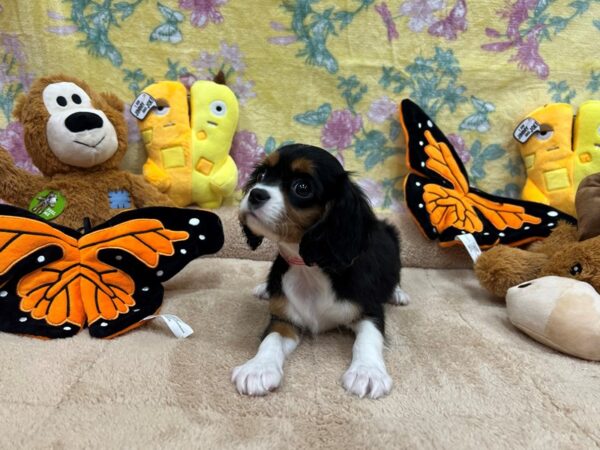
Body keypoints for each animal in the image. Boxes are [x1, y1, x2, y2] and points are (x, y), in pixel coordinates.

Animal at [232, 143, 410, 398]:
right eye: (263, 175)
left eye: (302, 187)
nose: (256, 193)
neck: (309, 268)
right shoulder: (284, 319)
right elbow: (271, 339)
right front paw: (258, 368)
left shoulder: (370, 310)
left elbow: (368, 339)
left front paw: (367, 372)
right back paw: (264, 288)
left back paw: (398, 293)